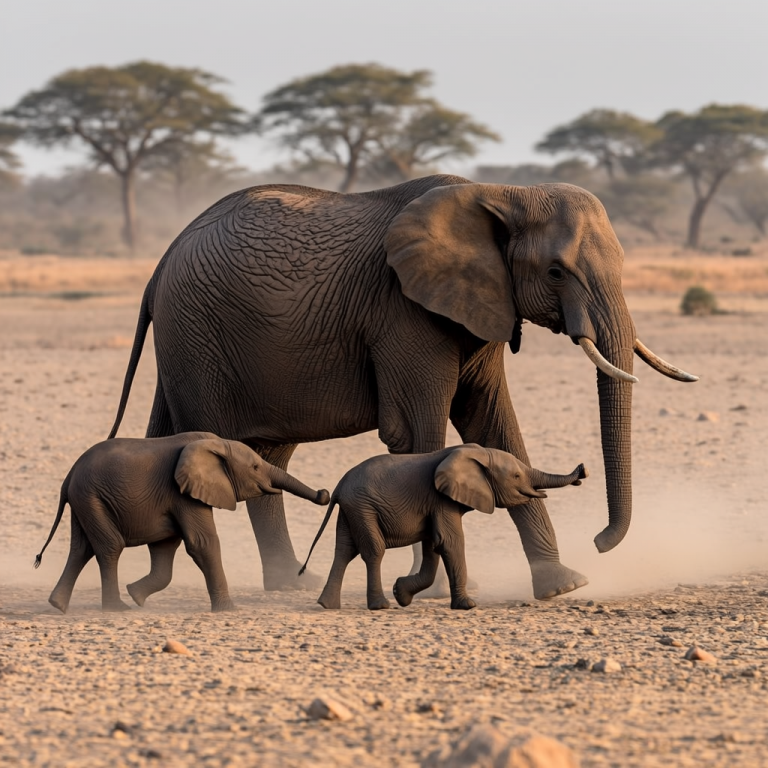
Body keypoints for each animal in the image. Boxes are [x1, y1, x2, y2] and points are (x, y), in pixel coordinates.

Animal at [34, 432, 329, 613]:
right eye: (256, 467)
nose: (324, 493)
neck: (218, 443)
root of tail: (69, 476)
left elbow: (165, 546)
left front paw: (137, 595)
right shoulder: (182, 493)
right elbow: (202, 543)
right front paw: (229, 610)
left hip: (86, 500)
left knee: (81, 549)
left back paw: (58, 605)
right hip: (91, 497)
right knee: (109, 546)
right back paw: (117, 608)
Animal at [299, 444, 588, 610]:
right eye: (516, 476)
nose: (582, 470)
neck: (477, 453)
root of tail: (338, 486)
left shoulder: (432, 504)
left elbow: (433, 547)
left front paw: (402, 594)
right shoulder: (441, 499)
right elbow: (449, 542)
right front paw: (468, 606)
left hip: (352, 510)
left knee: (344, 551)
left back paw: (327, 605)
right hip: (363, 507)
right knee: (373, 550)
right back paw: (380, 606)